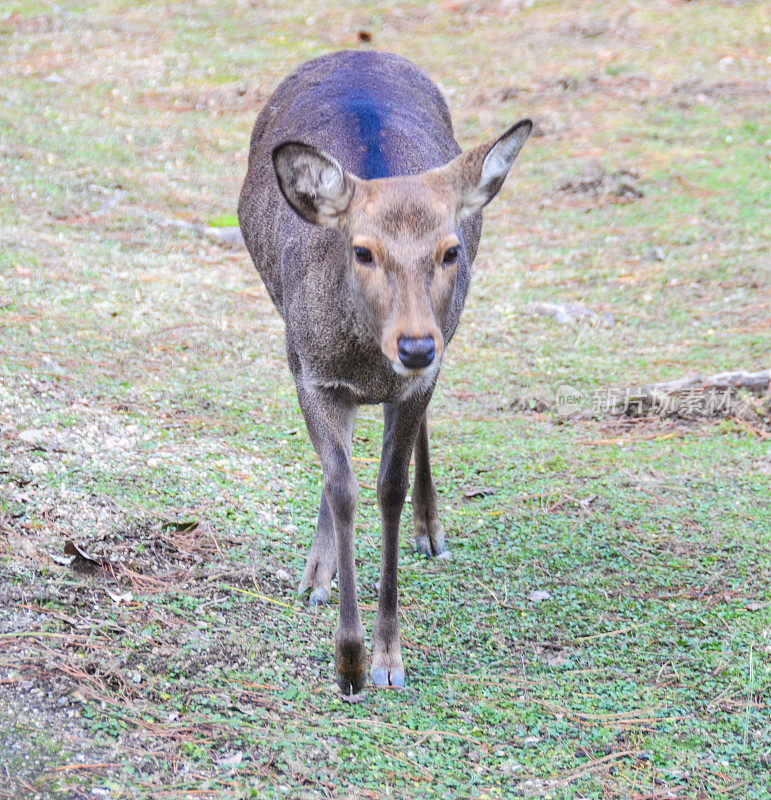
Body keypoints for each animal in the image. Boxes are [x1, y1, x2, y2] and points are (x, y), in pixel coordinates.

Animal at [238, 50, 532, 696]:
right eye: (363, 250)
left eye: (449, 251)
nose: (415, 343)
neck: (365, 360)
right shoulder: (312, 374)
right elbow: (342, 487)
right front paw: (346, 660)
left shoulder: (418, 380)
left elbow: (386, 489)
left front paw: (386, 657)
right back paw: (316, 575)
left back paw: (429, 526)